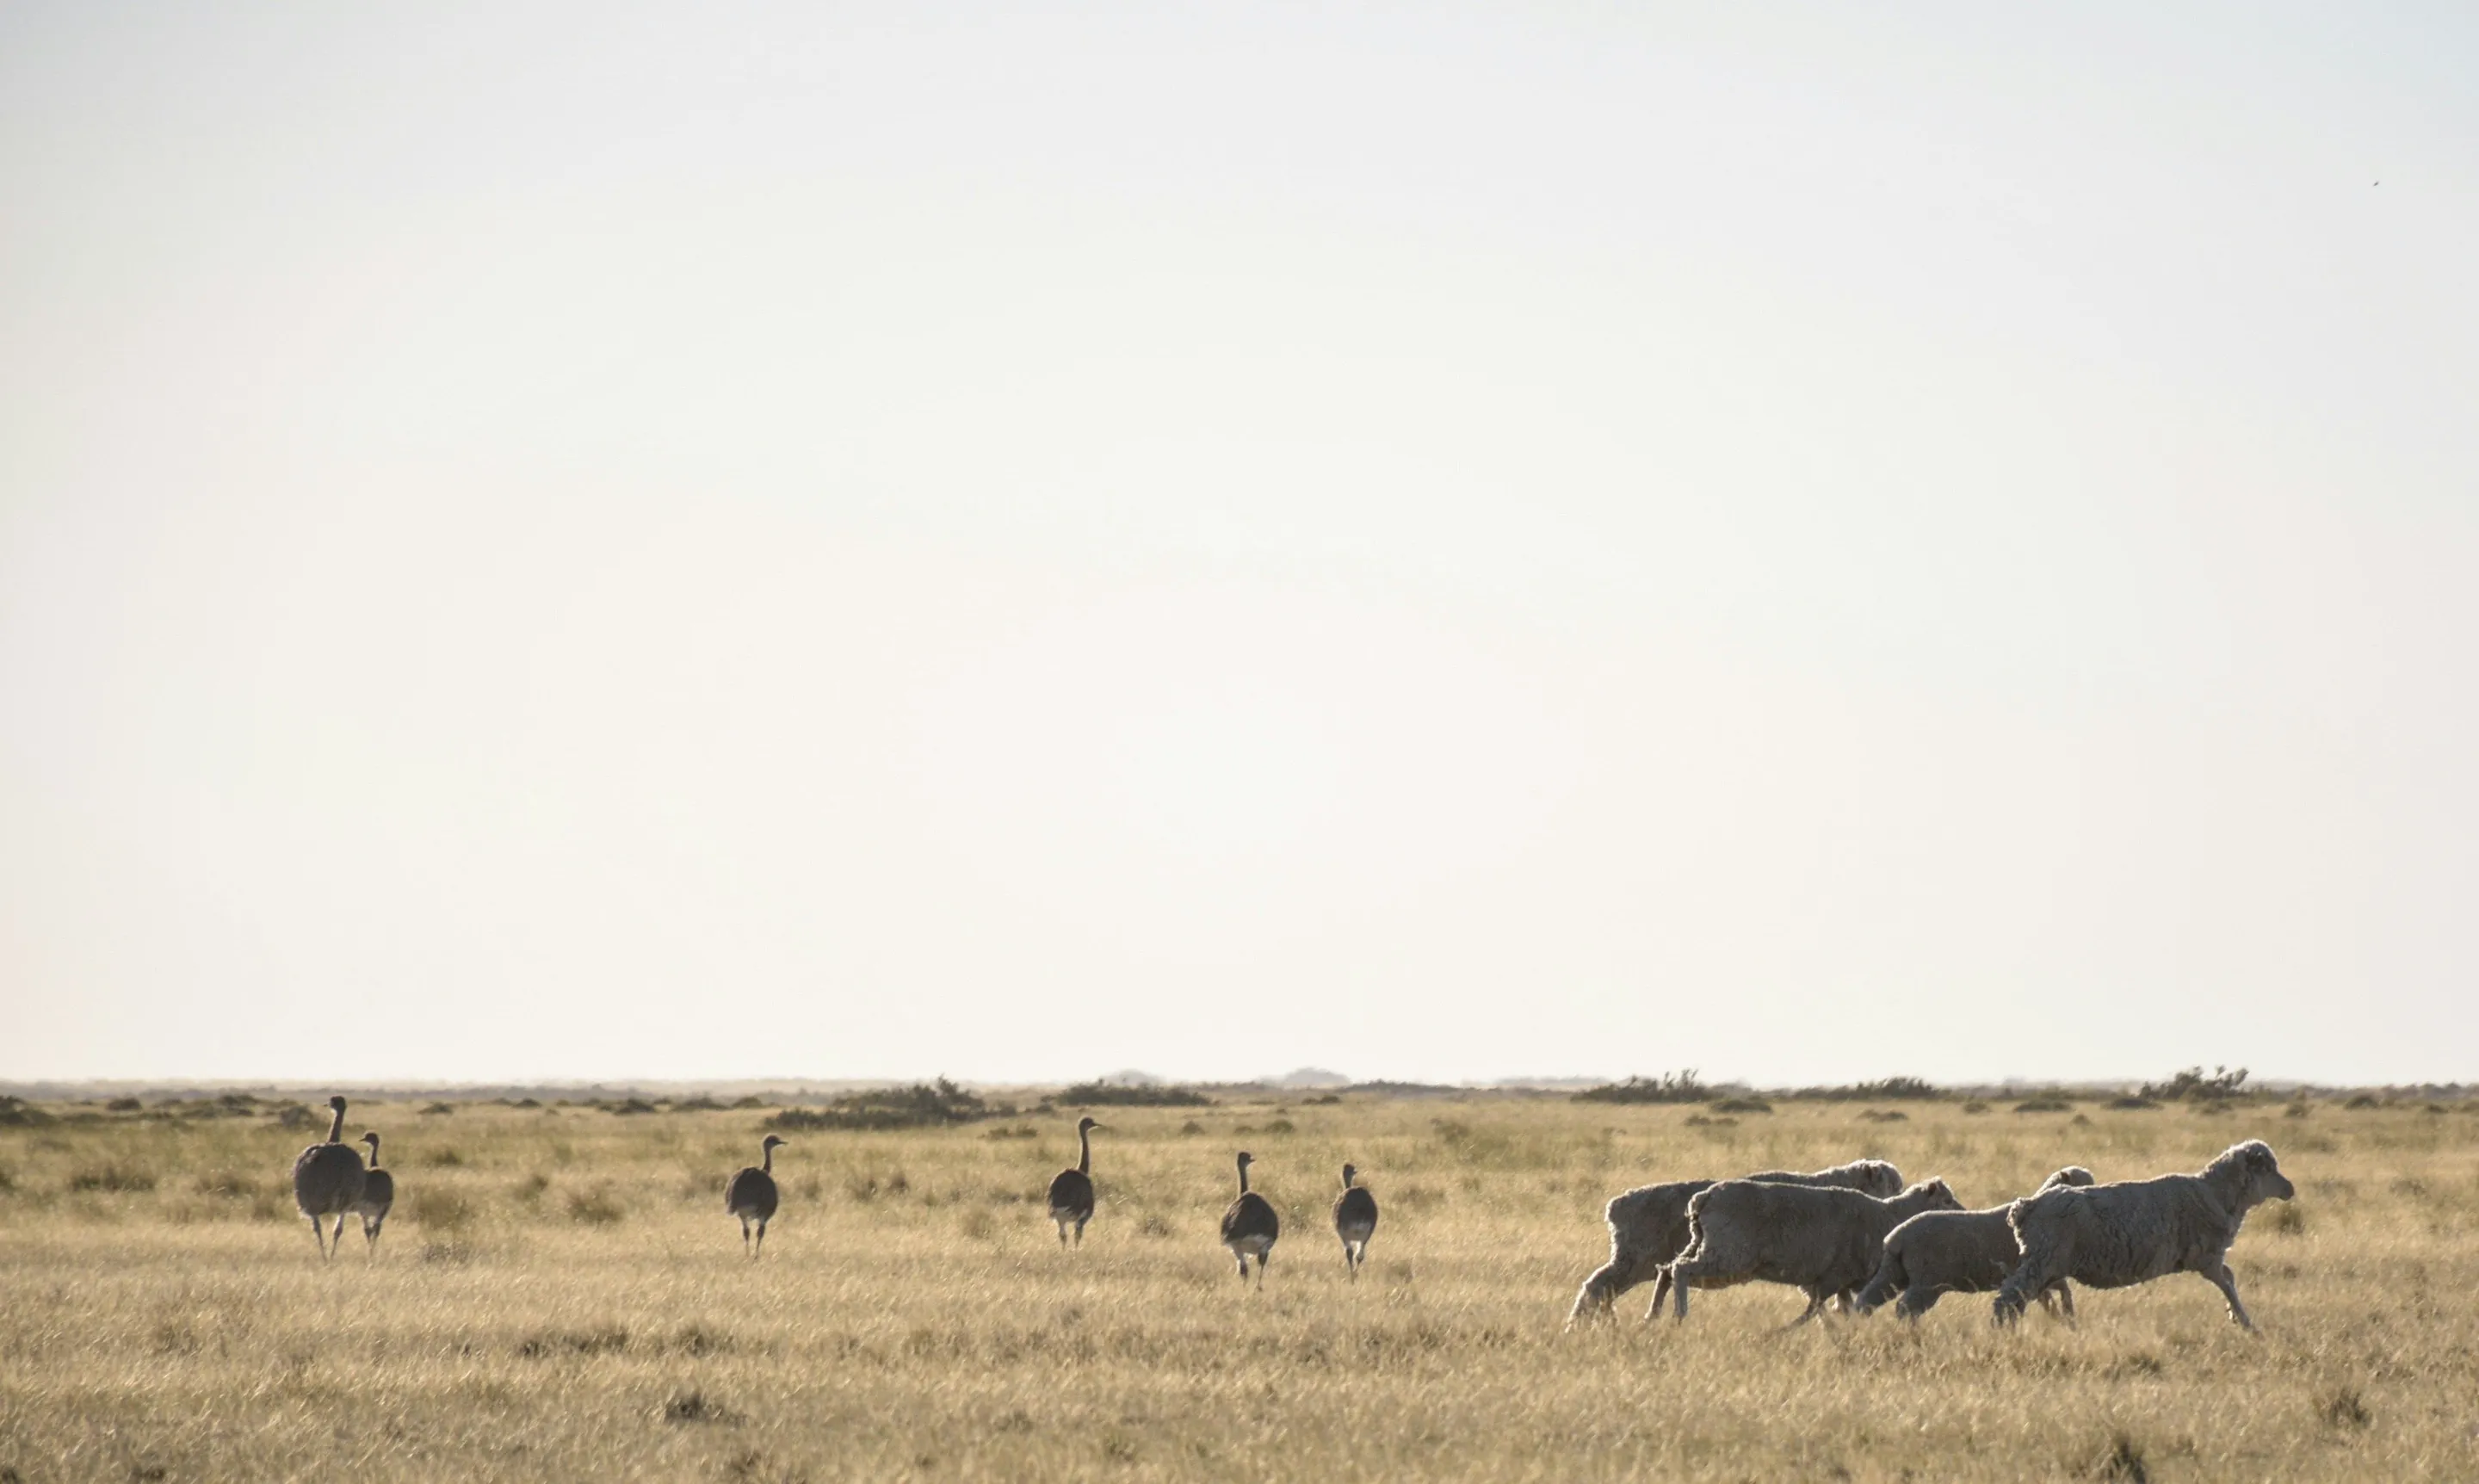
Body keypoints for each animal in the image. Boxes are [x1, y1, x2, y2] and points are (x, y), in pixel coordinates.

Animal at [1568, 1159, 1906, 1325]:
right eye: (1893, 1184)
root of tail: (1617, 1204)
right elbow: (1822, 1299)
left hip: (1635, 1262)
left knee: (1601, 1287)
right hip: (1636, 1259)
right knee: (1598, 1286)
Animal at [1664, 1177, 1964, 1324]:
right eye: (1947, 1200)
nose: (1965, 1213)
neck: (1890, 1215)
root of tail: (1704, 1197)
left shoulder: (1837, 1281)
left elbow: (1837, 1311)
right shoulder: (1835, 1277)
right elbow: (1823, 1310)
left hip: (1705, 1245)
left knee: (1668, 1269)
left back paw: (1657, 1315)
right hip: (1729, 1256)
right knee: (1680, 1270)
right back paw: (1680, 1315)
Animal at [1851, 1166, 2095, 1320]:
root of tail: (1896, 1237)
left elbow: (2055, 1295)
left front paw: (2062, 1318)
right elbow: (2061, 1292)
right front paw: (2066, 1318)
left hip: (1895, 1272)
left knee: (1867, 1299)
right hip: (1927, 1281)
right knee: (1904, 1308)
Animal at [1994, 1139, 2295, 1330]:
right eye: (2267, 1168)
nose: (2290, 1189)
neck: (2215, 1193)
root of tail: (2026, 1206)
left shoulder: (2208, 1258)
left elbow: (2229, 1279)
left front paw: (2236, 1317)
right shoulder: (2206, 1257)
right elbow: (2228, 1283)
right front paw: (2247, 1323)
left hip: (2045, 1264)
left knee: (2019, 1295)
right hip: (2043, 1260)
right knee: (2008, 1296)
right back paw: (2004, 1333)